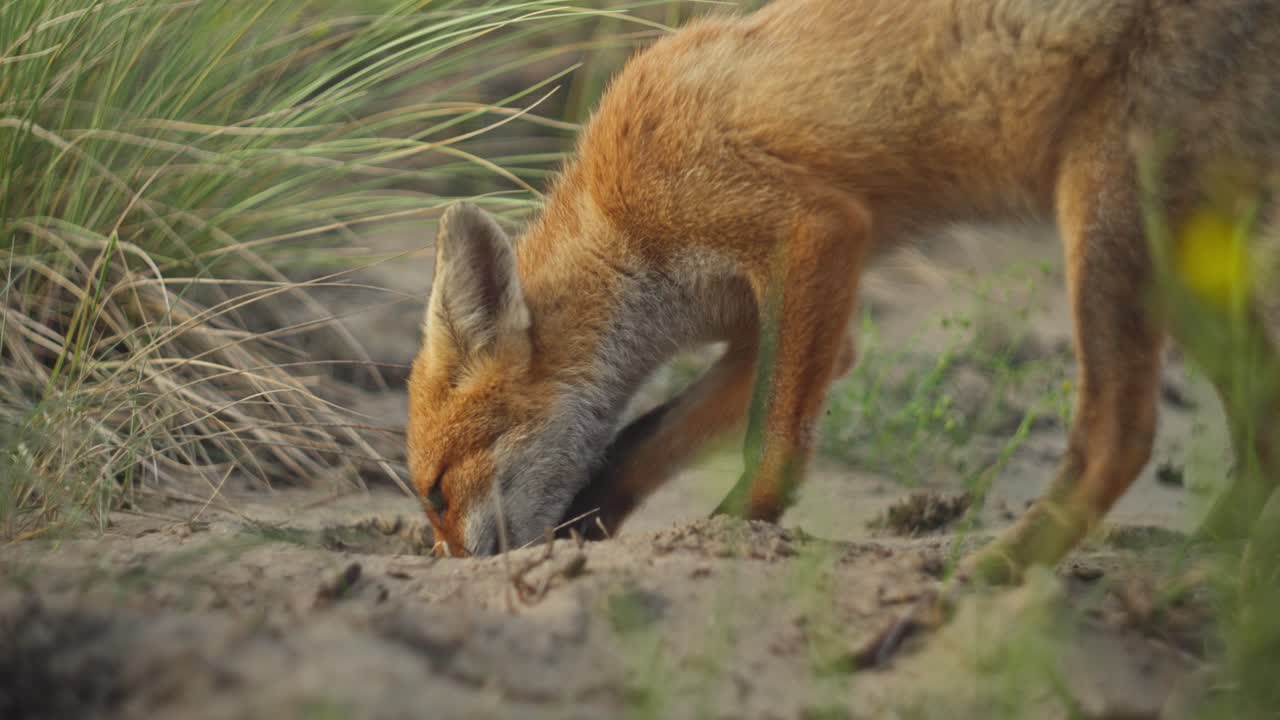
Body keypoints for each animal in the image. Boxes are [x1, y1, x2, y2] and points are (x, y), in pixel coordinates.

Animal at [406, 0, 1280, 582]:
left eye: (438, 491)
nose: (453, 569)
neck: (613, 217)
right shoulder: (763, 319)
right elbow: (643, 437)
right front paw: (592, 522)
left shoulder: (811, 234)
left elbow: (773, 440)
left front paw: (734, 530)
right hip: (1186, 261)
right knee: (1261, 429)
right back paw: (1204, 551)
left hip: (1109, 212)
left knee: (1120, 435)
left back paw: (986, 580)